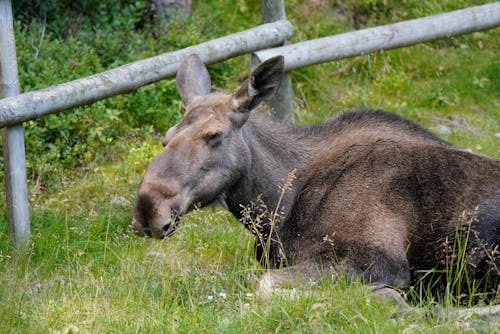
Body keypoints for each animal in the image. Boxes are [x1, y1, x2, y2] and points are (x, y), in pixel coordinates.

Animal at [131, 54, 498, 300]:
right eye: (166, 138)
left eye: (214, 135)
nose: (148, 210)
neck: (276, 209)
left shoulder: (382, 261)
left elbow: (265, 285)